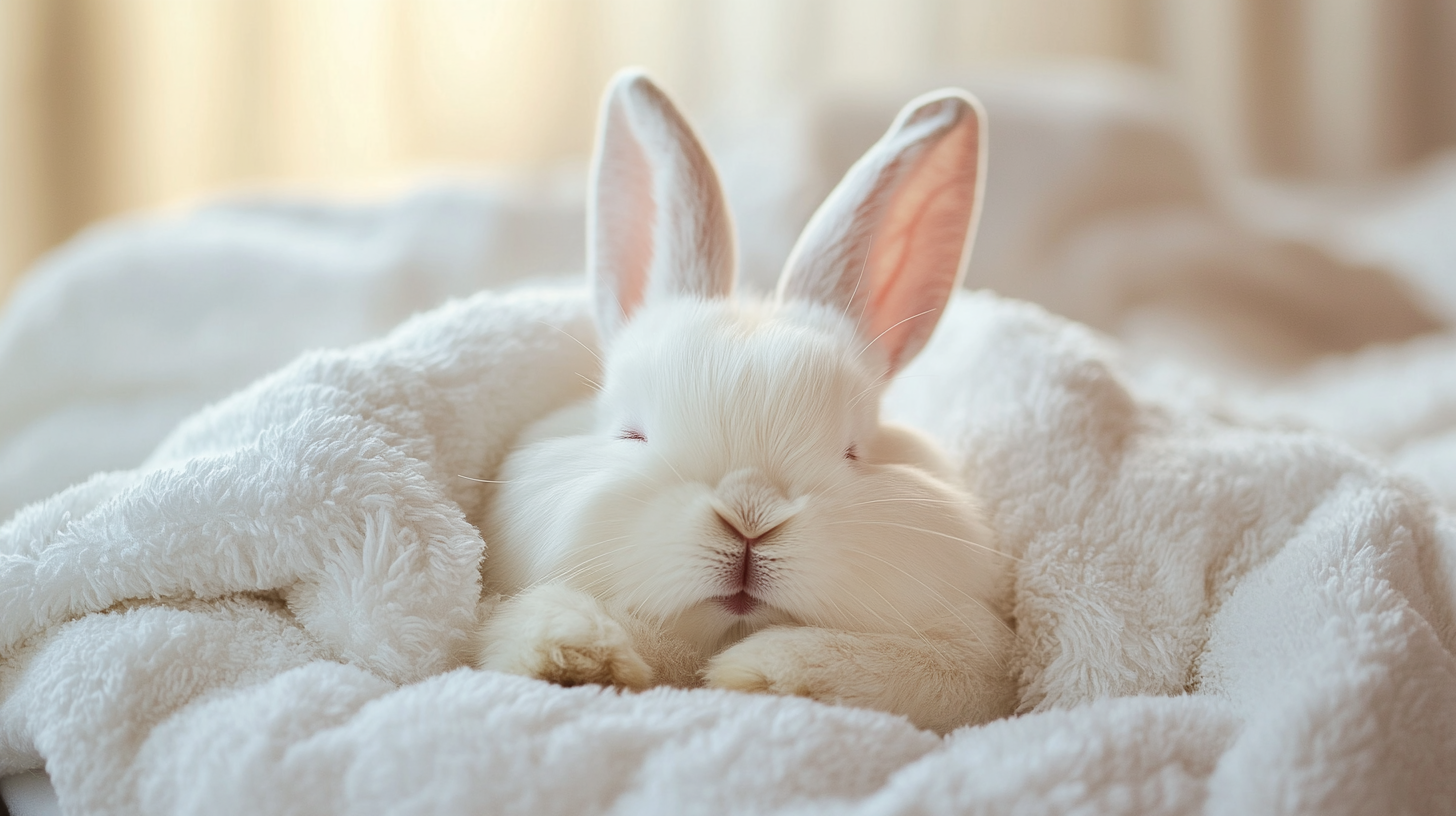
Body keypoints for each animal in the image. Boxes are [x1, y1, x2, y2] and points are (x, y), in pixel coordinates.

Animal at [469, 69, 1016, 734]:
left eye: (853, 451)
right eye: (632, 434)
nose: (750, 520)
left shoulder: (977, 665)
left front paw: (759, 673)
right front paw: (569, 655)